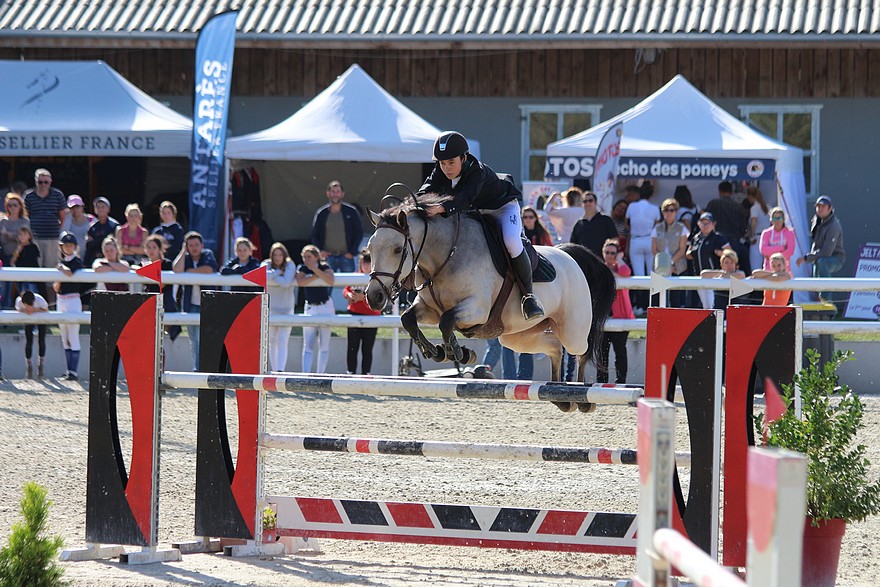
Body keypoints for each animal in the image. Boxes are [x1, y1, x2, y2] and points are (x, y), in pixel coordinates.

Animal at [368, 193, 616, 408]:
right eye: (370, 249)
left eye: (397, 249)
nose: (374, 297)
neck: (446, 256)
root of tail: (569, 255)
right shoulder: (429, 309)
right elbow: (408, 319)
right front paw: (434, 351)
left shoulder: (476, 309)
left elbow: (447, 321)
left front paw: (458, 352)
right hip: (517, 336)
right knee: (554, 349)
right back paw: (561, 397)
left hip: (572, 330)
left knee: (581, 351)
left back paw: (583, 399)